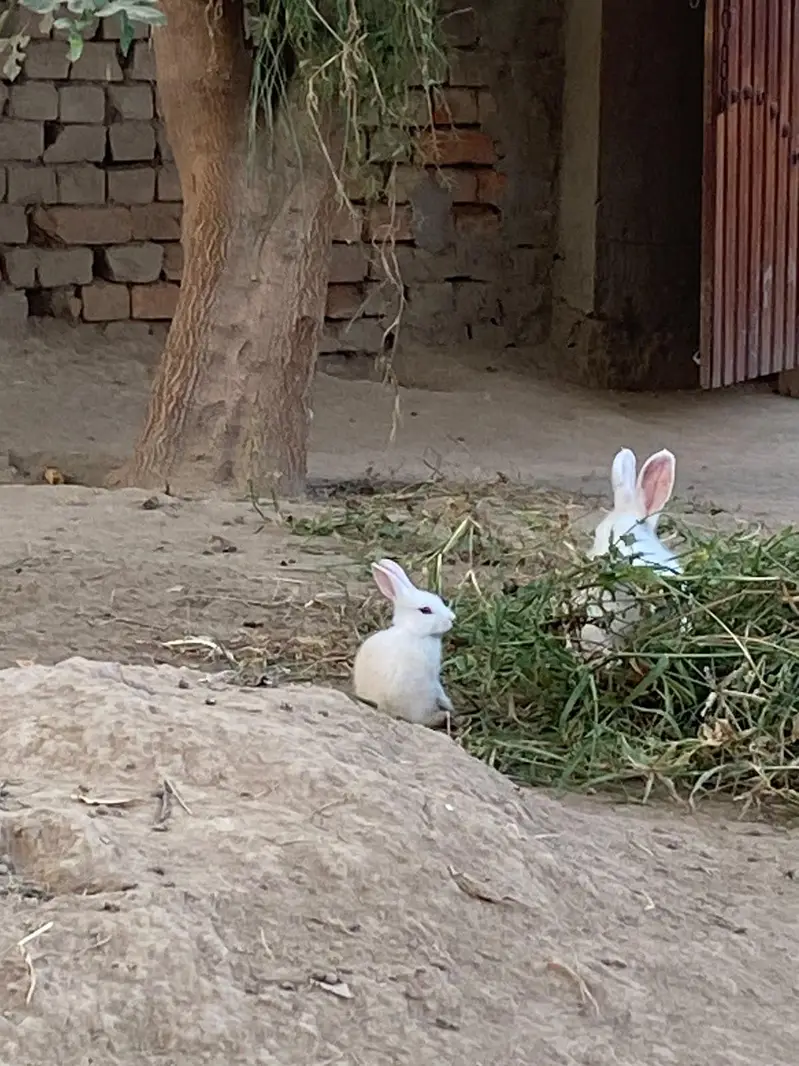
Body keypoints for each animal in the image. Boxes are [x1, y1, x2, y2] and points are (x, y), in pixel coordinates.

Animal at [353, 557, 456, 728]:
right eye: (425, 610)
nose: (452, 619)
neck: (413, 632)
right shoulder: (432, 675)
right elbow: (439, 689)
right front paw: (450, 705)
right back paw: (442, 716)